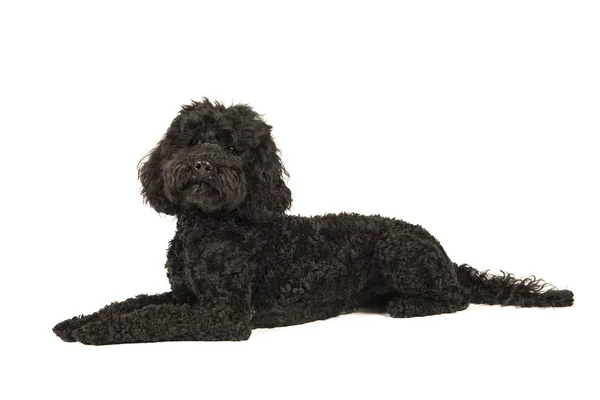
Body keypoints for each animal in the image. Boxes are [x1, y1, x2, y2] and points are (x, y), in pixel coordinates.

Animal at [54, 99, 576, 344]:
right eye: (190, 140)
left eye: (232, 147)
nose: (202, 164)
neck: (209, 228)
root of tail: (444, 253)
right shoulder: (187, 296)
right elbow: (132, 303)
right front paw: (78, 321)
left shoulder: (224, 314)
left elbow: (149, 317)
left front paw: (96, 333)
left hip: (400, 252)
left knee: (457, 298)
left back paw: (407, 306)